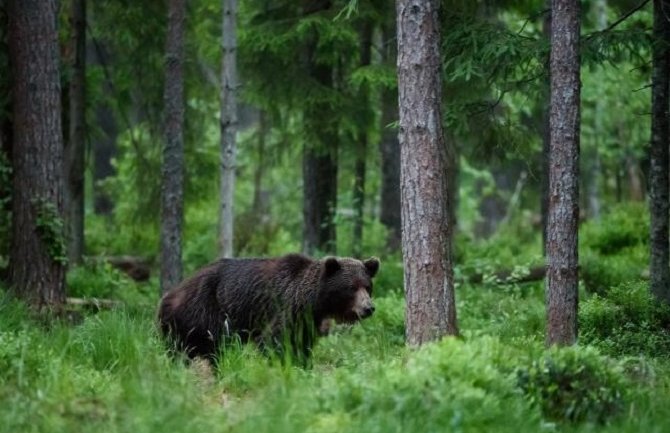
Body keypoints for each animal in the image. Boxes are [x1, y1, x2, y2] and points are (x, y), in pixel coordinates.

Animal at [155, 253, 380, 364]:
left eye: (367, 286)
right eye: (351, 287)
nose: (368, 308)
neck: (313, 303)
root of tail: (167, 297)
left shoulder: (306, 322)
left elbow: (302, 344)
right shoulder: (285, 308)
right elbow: (274, 341)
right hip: (206, 312)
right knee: (217, 348)